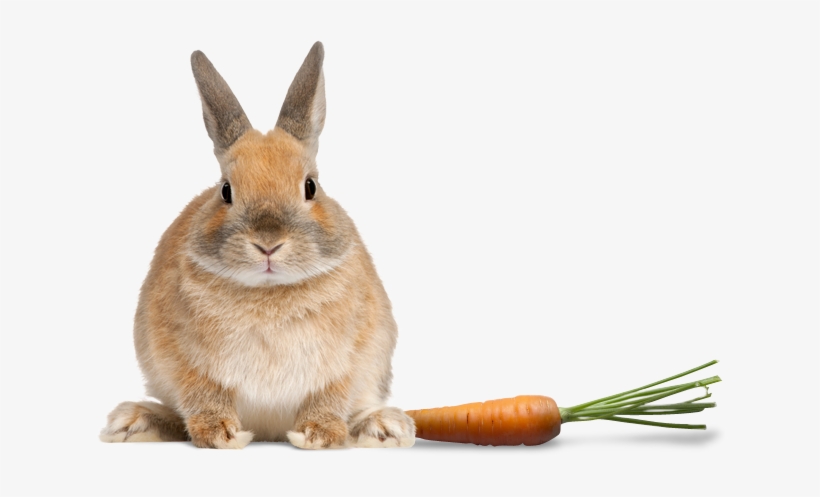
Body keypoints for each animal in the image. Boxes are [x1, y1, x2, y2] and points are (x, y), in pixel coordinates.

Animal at [99, 42, 415, 449]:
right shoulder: (183, 361)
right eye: (225, 190)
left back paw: (385, 426)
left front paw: (318, 435)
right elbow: (203, 396)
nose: (268, 243)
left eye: (310, 186)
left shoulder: (349, 362)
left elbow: (330, 398)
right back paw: (133, 421)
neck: (269, 293)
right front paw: (220, 434)